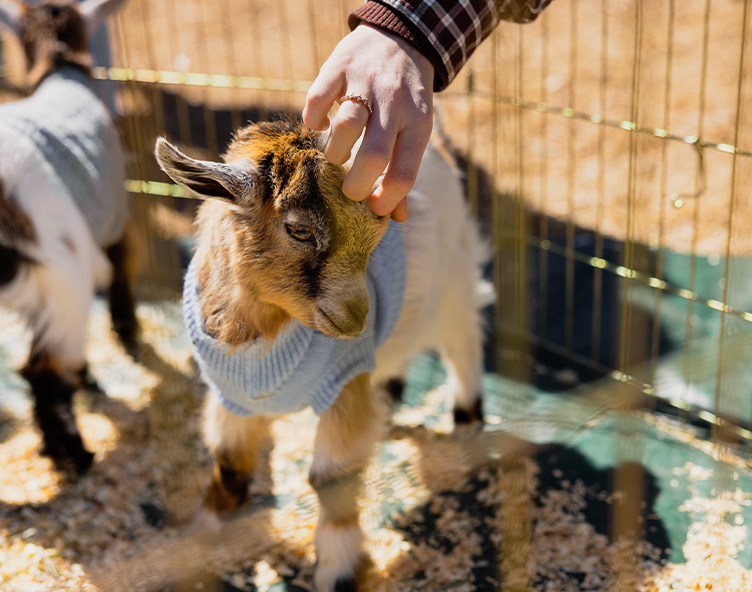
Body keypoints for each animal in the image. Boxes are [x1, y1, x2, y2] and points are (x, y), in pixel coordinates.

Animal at [0, 0, 135, 474]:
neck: (63, 74)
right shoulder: (114, 212)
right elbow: (122, 271)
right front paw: (128, 334)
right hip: (63, 276)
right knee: (44, 370)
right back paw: (73, 452)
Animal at [155, 118, 490, 592]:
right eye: (298, 230)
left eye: (379, 228)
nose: (357, 318)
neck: (264, 339)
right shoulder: (232, 397)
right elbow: (230, 462)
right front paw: (202, 538)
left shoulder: (342, 384)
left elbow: (331, 479)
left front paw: (339, 570)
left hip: (453, 279)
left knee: (464, 335)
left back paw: (468, 418)